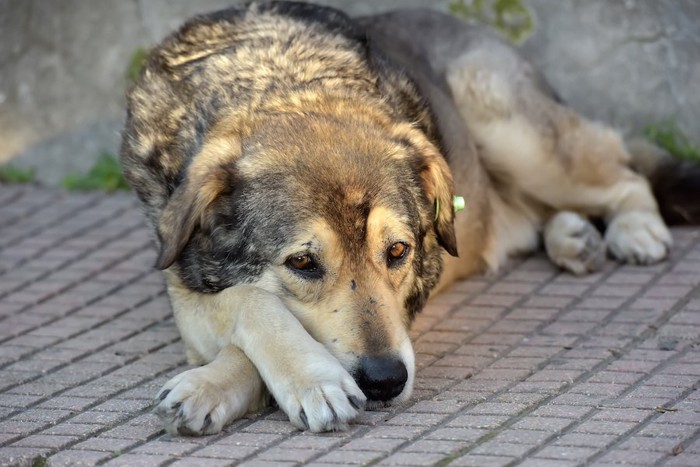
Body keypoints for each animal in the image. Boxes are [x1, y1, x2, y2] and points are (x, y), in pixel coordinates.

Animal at [117, 1, 692, 436]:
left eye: (398, 251)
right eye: (302, 263)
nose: (384, 381)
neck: (285, 84)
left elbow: (251, 315)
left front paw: (306, 383)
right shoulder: (182, 285)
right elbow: (251, 301)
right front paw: (229, 384)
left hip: (512, 128)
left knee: (624, 170)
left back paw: (634, 230)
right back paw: (572, 236)